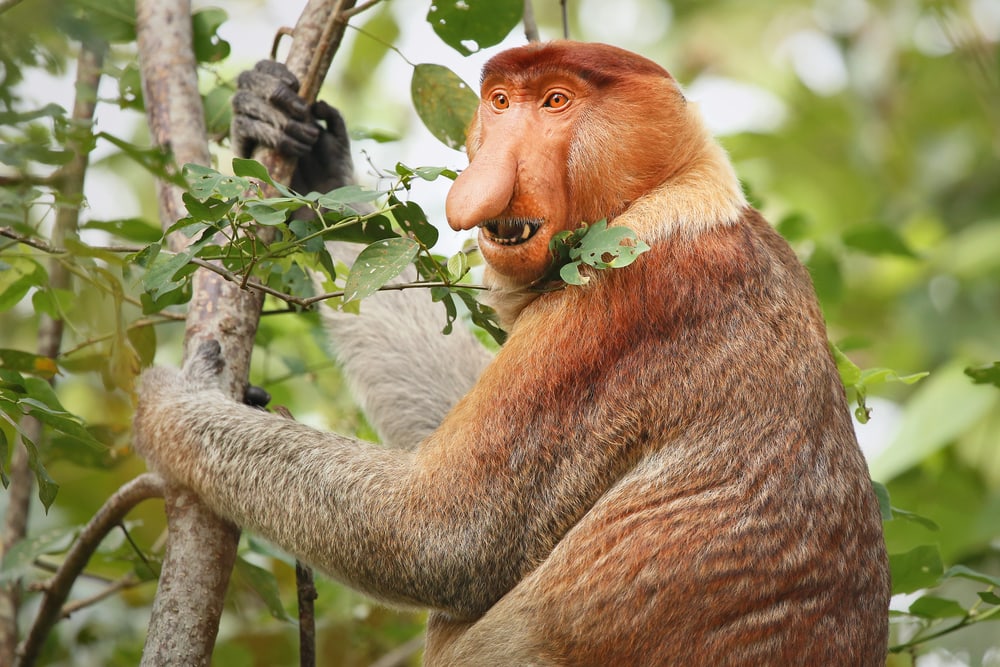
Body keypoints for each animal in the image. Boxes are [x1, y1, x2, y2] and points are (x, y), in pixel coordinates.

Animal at [134, 41, 890, 665]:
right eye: (500, 103)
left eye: (556, 102)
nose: (487, 176)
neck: (673, 193)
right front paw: (304, 149)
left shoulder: (619, 306)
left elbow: (440, 536)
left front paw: (165, 403)